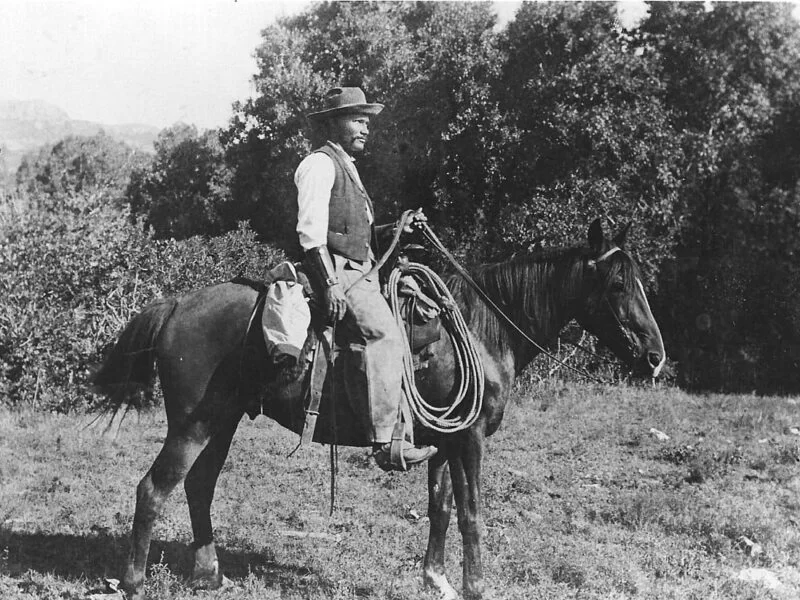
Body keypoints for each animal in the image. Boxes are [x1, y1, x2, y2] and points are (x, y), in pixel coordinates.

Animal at [92, 219, 664, 600]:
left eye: (641, 282)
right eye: (617, 284)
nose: (656, 356)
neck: (482, 331)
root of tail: (176, 304)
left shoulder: (444, 438)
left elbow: (441, 507)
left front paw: (436, 579)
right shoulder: (471, 439)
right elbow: (472, 513)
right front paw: (476, 585)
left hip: (224, 421)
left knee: (198, 486)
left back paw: (209, 573)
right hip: (194, 424)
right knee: (154, 488)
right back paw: (134, 581)